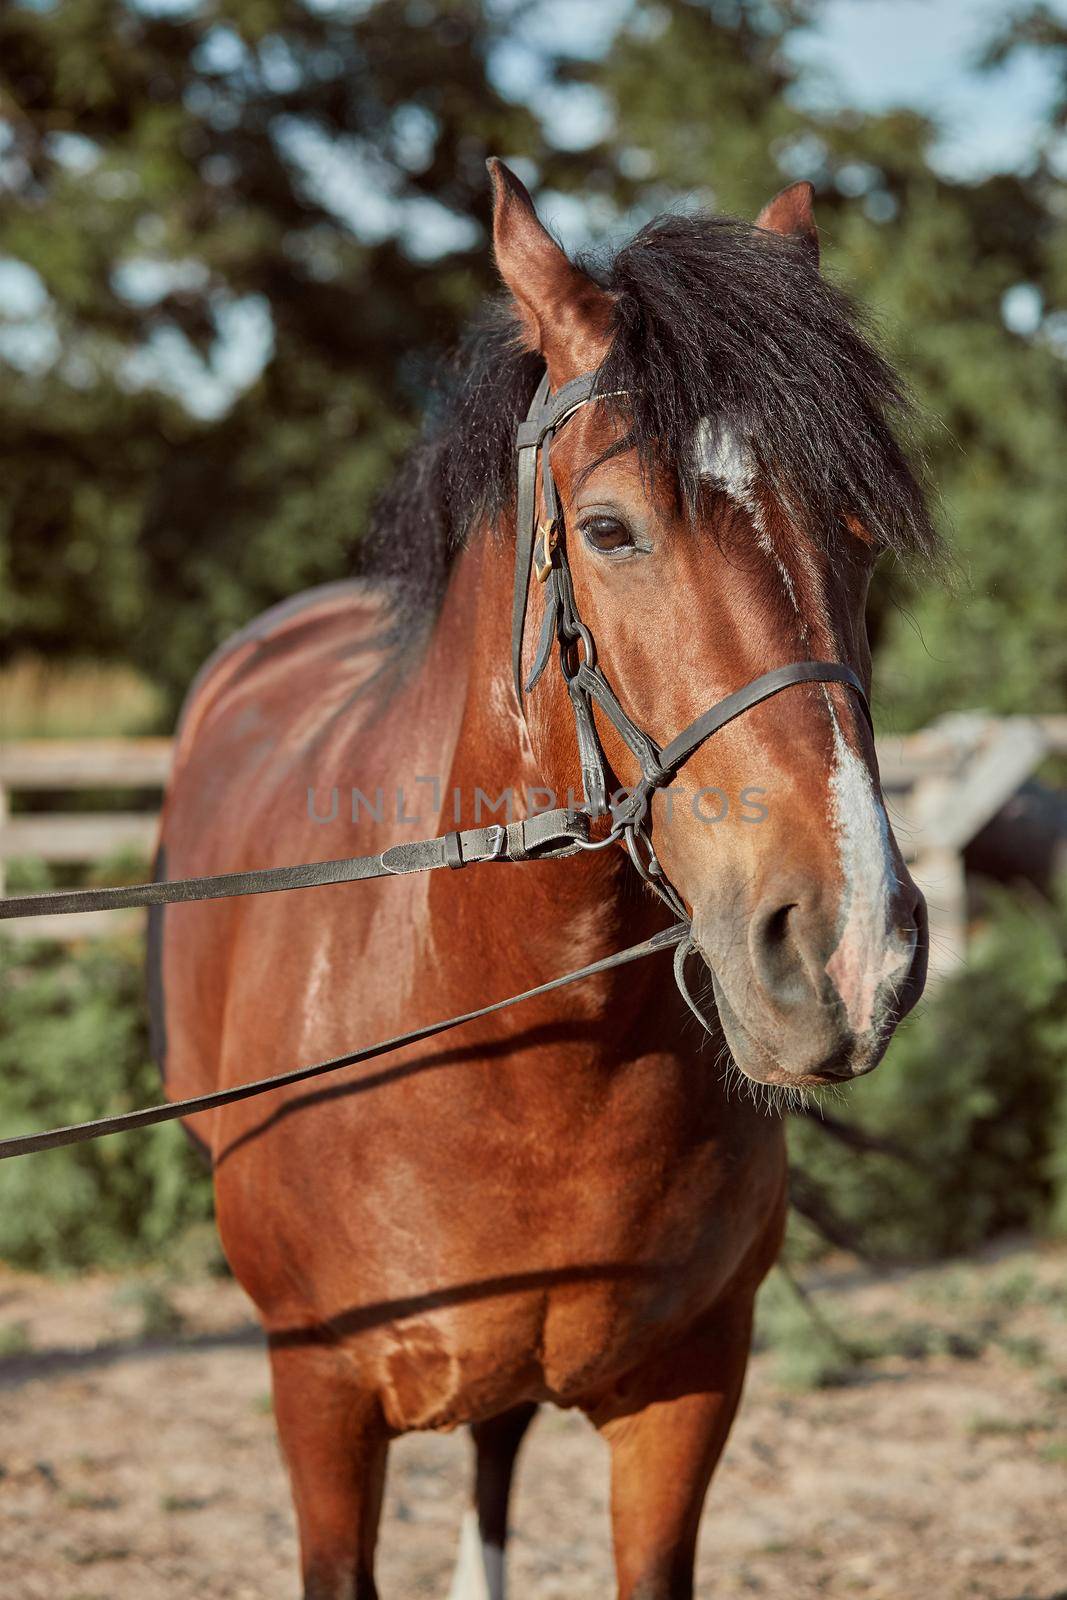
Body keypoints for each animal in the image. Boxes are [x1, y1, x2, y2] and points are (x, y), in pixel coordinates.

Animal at [150, 165, 934, 1600]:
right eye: (610, 529)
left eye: (853, 535)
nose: (850, 955)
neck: (514, 1045)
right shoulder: (319, 1399)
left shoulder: (689, 1390)